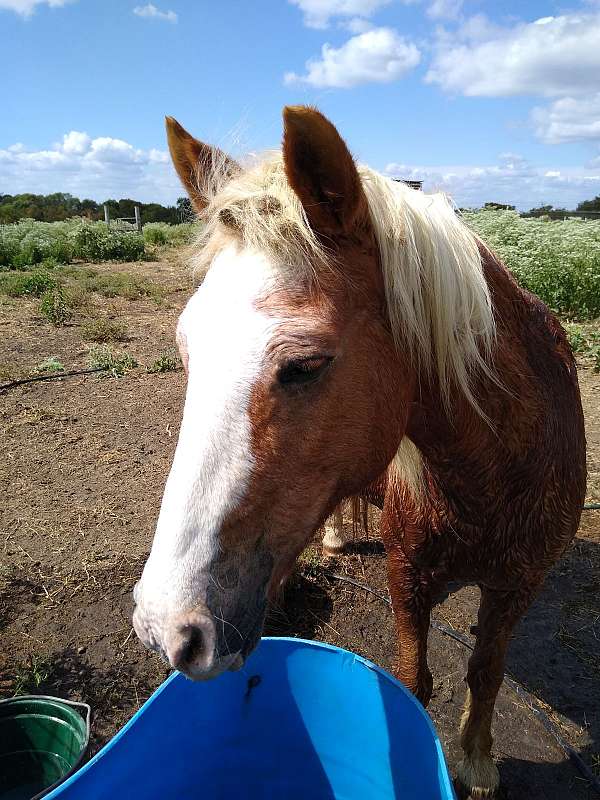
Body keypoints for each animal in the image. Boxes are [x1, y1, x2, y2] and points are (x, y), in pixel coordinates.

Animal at [132, 108, 584, 800]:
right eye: (187, 348)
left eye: (306, 365)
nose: (165, 626)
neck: (495, 474)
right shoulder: (406, 576)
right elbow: (414, 680)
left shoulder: (519, 583)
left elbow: (486, 671)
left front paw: (477, 762)